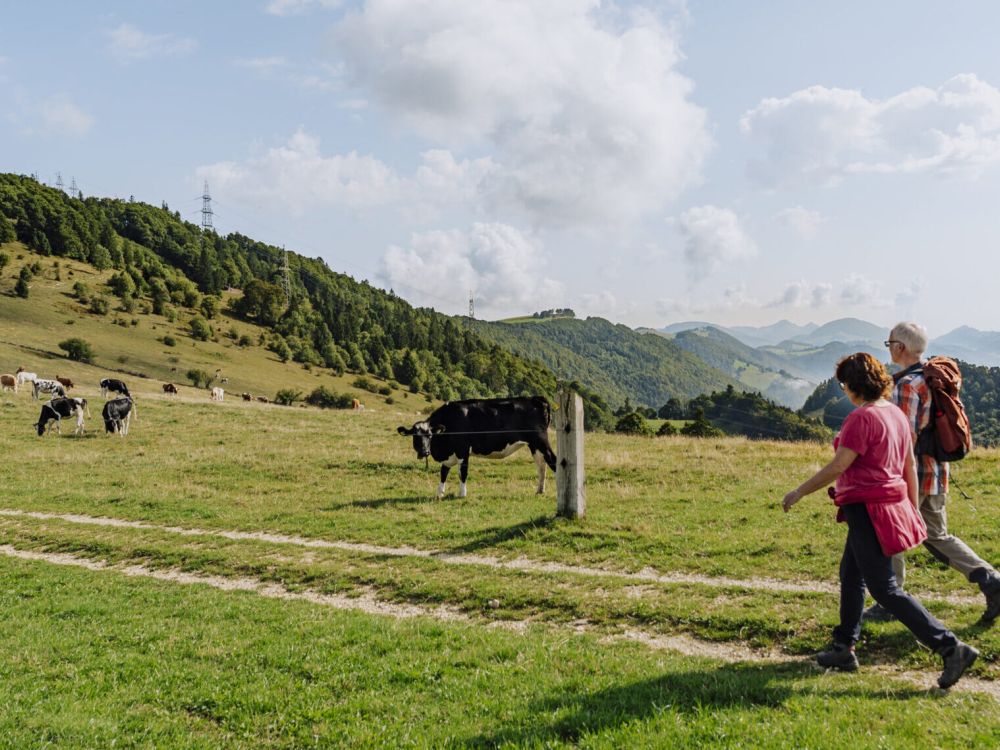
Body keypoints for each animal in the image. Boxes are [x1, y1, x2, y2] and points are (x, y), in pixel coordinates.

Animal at [396, 396, 556, 502]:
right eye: (415, 436)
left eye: (430, 435)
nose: (424, 452)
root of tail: (536, 398)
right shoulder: (449, 455)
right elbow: (443, 473)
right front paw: (440, 493)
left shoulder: (463, 450)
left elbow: (463, 473)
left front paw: (462, 494)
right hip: (533, 444)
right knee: (541, 465)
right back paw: (540, 490)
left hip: (540, 440)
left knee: (552, 460)